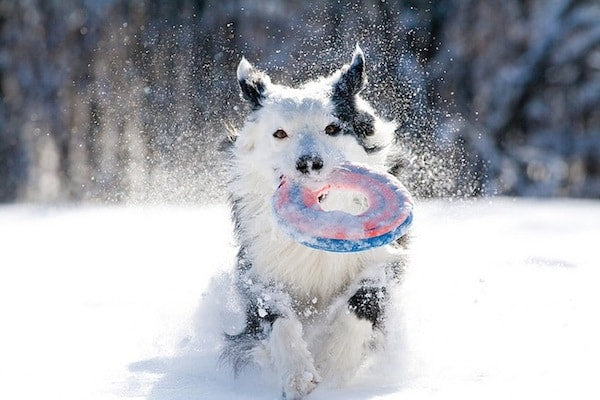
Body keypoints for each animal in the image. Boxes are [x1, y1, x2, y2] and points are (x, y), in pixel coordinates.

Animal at [223, 45, 410, 398]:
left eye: (332, 129)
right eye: (280, 133)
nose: (309, 163)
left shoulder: (382, 257)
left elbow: (362, 303)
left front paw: (334, 364)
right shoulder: (260, 271)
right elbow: (279, 318)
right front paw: (298, 375)